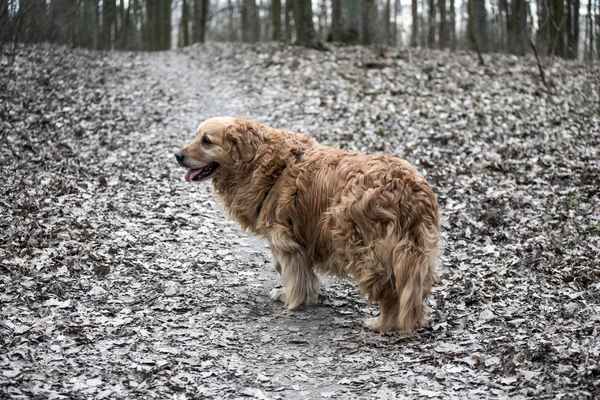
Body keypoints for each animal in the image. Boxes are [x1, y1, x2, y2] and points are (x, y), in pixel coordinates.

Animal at [175, 116, 440, 332]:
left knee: (390, 290)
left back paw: (384, 323)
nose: (178, 155)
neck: (269, 165)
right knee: (413, 292)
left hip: (362, 244)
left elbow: (288, 269)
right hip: (415, 251)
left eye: (206, 141)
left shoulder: (283, 237)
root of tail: (410, 190)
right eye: (196, 136)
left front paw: (291, 298)